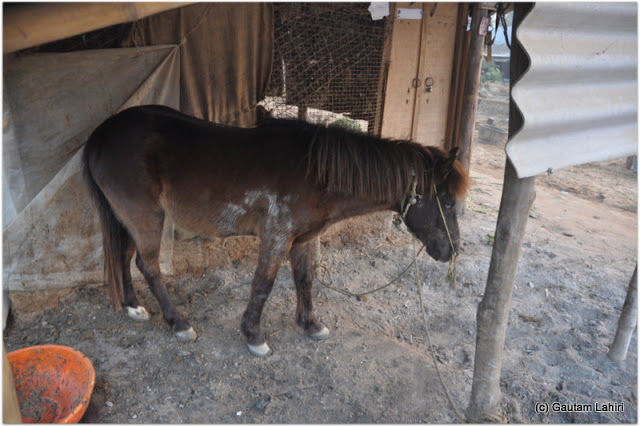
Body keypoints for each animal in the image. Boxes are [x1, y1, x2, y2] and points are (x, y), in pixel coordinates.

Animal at [82, 105, 469, 357]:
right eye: (448, 202)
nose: (452, 251)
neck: (317, 172)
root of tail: (99, 135)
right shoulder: (277, 236)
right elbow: (263, 286)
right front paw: (254, 336)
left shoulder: (303, 239)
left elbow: (305, 280)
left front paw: (311, 325)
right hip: (146, 216)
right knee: (148, 266)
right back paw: (178, 324)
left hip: (127, 218)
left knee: (123, 256)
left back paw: (133, 307)